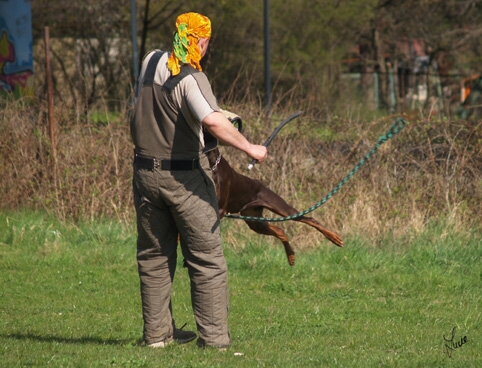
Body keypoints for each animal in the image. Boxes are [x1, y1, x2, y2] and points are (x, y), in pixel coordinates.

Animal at [205, 145, 344, 266]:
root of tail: (261, 184)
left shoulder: (220, 209)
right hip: (254, 220)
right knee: (280, 230)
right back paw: (291, 256)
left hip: (281, 208)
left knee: (309, 219)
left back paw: (335, 238)